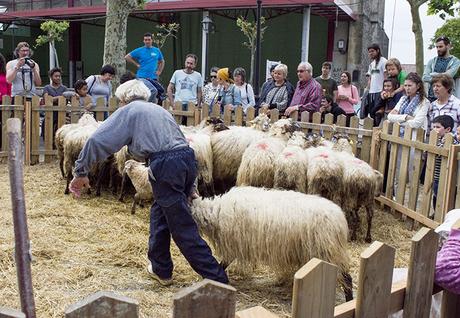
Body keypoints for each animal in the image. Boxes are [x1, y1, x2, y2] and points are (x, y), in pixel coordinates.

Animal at [190, 186, 352, 300]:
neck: (215, 212)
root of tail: (340, 219)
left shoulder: (235, 244)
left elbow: (222, 263)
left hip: (325, 251)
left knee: (347, 277)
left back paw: (348, 300)